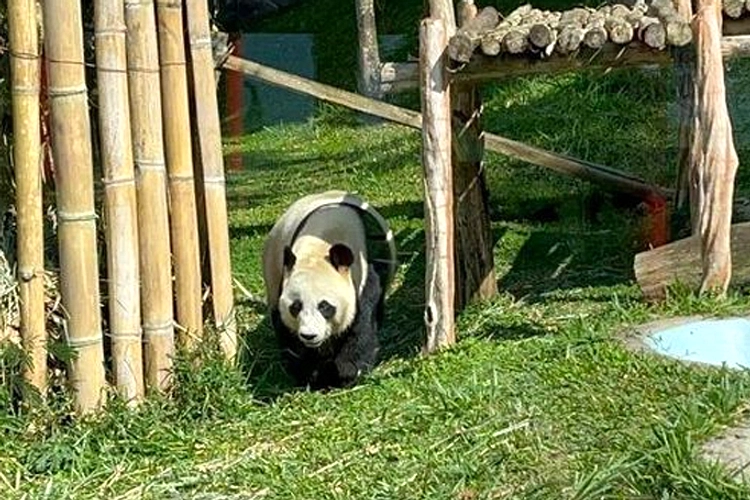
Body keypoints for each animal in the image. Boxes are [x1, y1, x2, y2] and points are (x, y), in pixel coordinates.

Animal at [262, 190, 397, 390]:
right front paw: (311, 375)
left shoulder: (366, 274)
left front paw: (346, 373)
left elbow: (360, 328)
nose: (309, 335)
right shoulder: (283, 282)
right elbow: (290, 339)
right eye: (296, 306)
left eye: (325, 306)